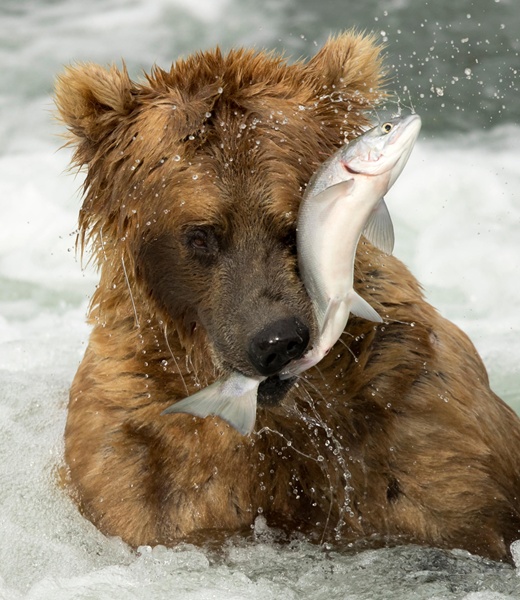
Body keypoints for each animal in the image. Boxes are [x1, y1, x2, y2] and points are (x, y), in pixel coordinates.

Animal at [54, 30, 520, 560]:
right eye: (200, 234)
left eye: (289, 225)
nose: (276, 341)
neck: (282, 424)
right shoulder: (142, 457)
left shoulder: (420, 422)